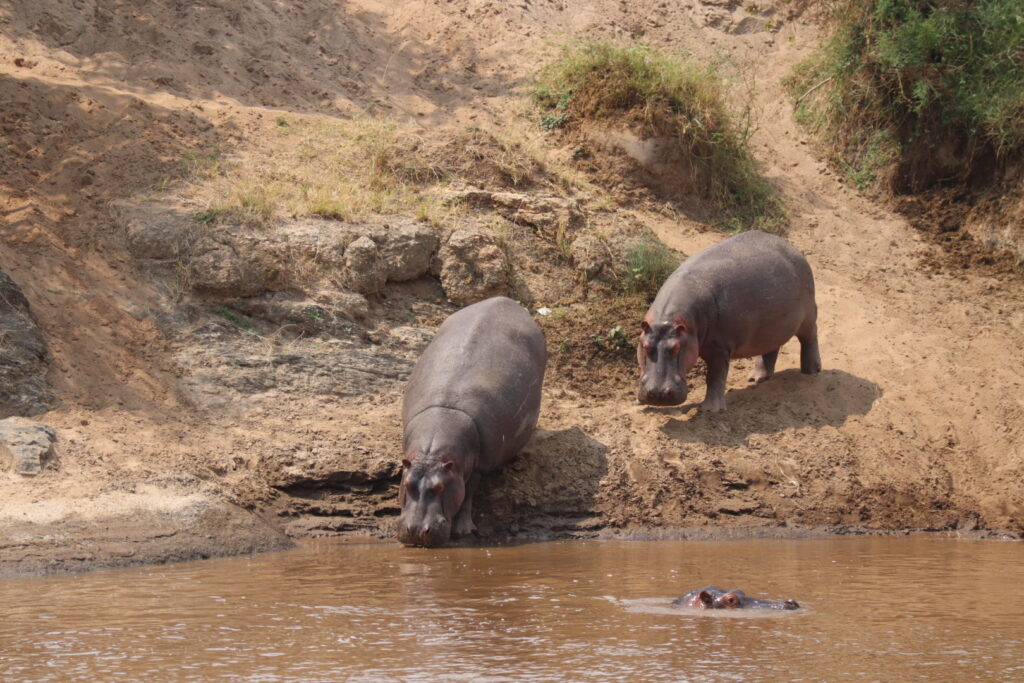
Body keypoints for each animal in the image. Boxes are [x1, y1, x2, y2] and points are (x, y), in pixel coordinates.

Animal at [395, 296, 548, 548]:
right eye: (406, 484)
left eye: (440, 487)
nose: (416, 531)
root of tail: (503, 299)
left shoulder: (478, 465)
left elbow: (468, 493)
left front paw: (464, 530)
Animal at [634, 229, 819, 411]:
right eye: (644, 346)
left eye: (676, 348)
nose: (658, 394)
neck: (669, 321)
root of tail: (791, 248)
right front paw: (639, 404)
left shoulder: (719, 348)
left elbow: (715, 377)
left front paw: (709, 409)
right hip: (772, 327)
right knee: (770, 349)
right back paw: (756, 378)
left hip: (808, 318)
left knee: (809, 340)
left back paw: (811, 371)